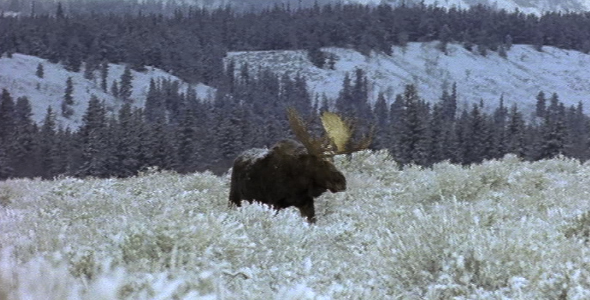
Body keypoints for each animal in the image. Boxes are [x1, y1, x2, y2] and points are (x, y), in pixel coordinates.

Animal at [229, 108, 372, 223]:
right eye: (321, 162)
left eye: (333, 160)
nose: (341, 182)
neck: (298, 183)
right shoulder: (274, 202)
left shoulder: (306, 203)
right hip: (235, 197)